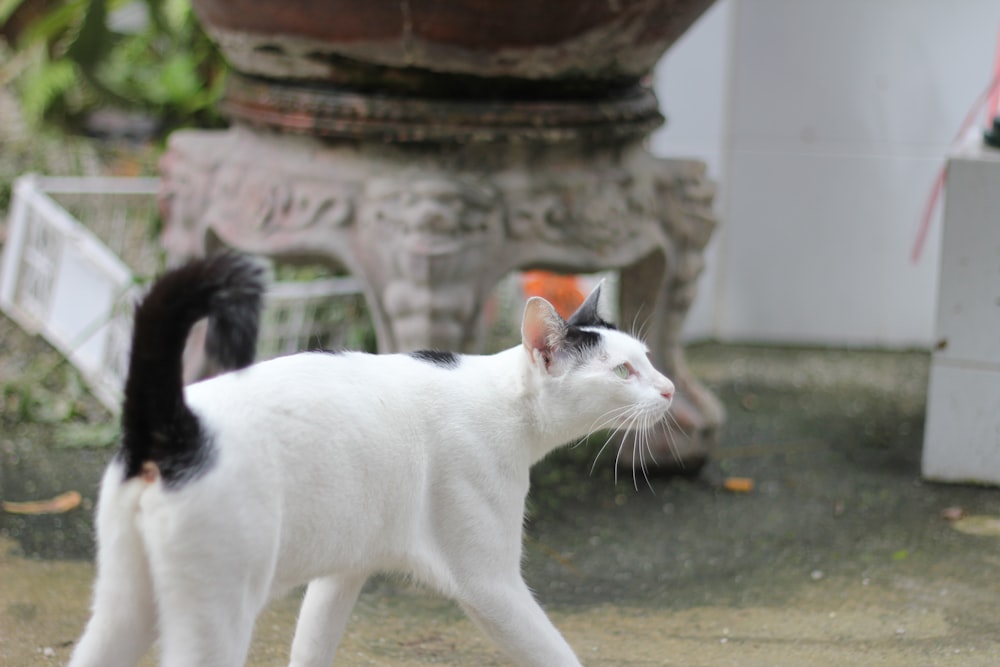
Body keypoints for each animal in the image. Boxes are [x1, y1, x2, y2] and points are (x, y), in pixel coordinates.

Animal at [66, 253, 676, 664]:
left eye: (647, 359)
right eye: (624, 372)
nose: (670, 390)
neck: (503, 400)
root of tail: (176, 424)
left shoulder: (345, 571)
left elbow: (312, 645)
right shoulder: (490, 585)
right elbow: (553, 651)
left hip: (124, 607)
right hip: (216, 609)